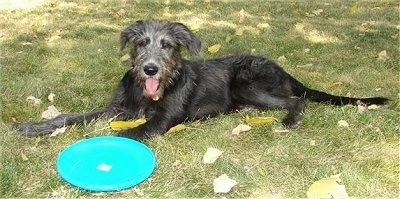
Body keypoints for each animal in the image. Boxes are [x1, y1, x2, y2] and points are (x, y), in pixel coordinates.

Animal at [14, 19, 390, 139]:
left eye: (167, 45)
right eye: (141, 43)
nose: (150, 69)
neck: (146, 94)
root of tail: (283, 69)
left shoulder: (161, 120)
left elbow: (129, 133)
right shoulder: (116, 108)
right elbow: (73, 117)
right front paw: (35, 127)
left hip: (248, 81)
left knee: (297, 101)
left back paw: (288, 120)